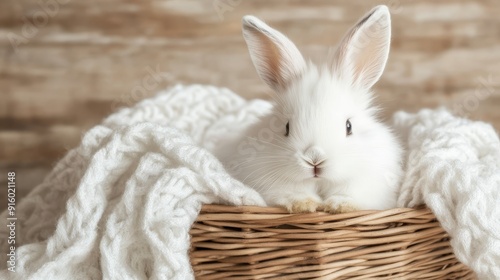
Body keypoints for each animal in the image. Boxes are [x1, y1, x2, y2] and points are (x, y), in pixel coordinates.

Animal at [215, 5, 402, 213]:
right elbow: (292, 192)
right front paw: (304, 204)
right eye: (286, 127)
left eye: (349, 126)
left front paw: (339, 205)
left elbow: (350, 194)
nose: (315, 159)